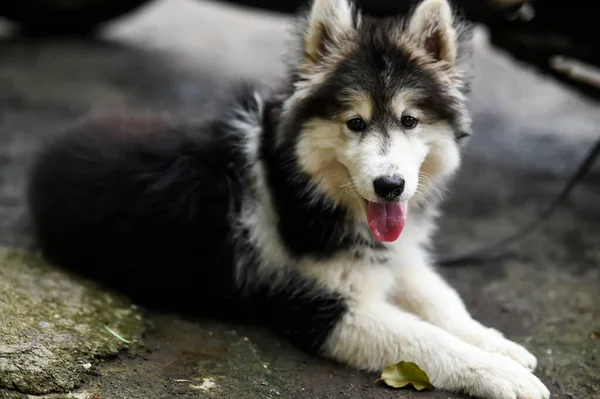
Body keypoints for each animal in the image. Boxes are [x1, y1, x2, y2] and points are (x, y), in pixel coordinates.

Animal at [29, 0, 548, 398]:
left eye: (409, 120)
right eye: (355, 122)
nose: (390, 186)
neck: (307, 187)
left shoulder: (396, 255)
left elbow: (442, 300)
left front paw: (498, 345)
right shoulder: (321, 310)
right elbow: (426, 340)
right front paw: (499, 374)